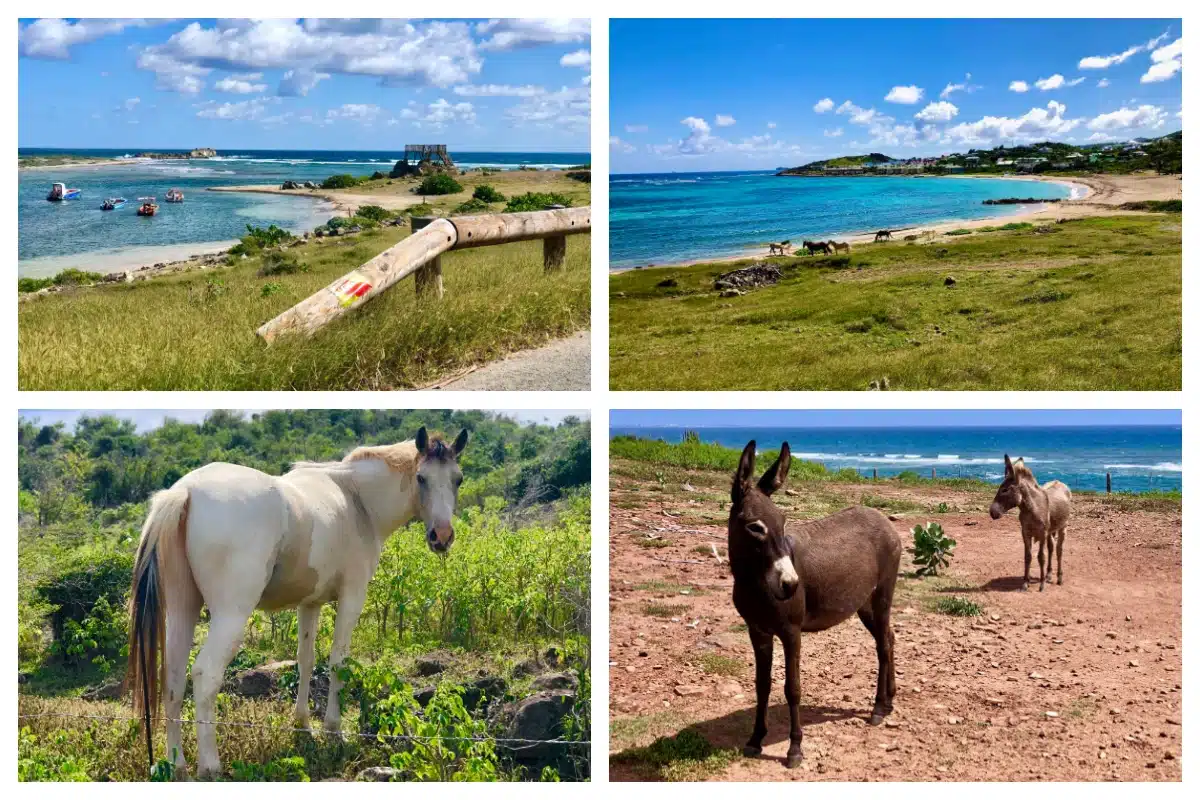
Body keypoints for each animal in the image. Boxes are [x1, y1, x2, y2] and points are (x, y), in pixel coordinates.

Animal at [127, 429, 468, 777]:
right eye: (421, 477)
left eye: (457, 479)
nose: (442, 537)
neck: (356, 499)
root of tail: (185, 491)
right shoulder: (352, 596)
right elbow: (338, 662)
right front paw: (333, 731)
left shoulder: (310, 604)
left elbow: (306, 661)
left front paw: (302, 726)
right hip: (230, 616)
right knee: (205, 675)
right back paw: (210, 767)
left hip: (183, 609)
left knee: (172, 678)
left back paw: (175, 765)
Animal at [720, 441, 902, 767]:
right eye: (755, 528)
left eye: (783, 523)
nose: (791, 584)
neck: (755, 583)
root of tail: (882, 517)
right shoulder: (758, 632)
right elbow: (762, 685)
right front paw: (755, 739)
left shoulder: (791, 633)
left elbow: (792, 688)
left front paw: (794, 749)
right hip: (864, 603)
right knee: (889, 638)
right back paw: (889, 700)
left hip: (883, 593)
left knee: (883, 645)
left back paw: (878, 709)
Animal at [988, 453, 1075, 592]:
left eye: (1005, 490)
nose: (992, 512)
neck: (1030, 508)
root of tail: (1059, 481)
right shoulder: (1025, 532)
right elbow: (1027, 556)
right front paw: (1025, 583)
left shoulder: (1042, 533)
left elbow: (1041, 557)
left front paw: (1041, 585)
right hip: (1051, 530)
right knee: (1051, 548)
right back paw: (1048, 575)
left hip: (1063, 526)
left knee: (1059, 550)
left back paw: (1059, 578)